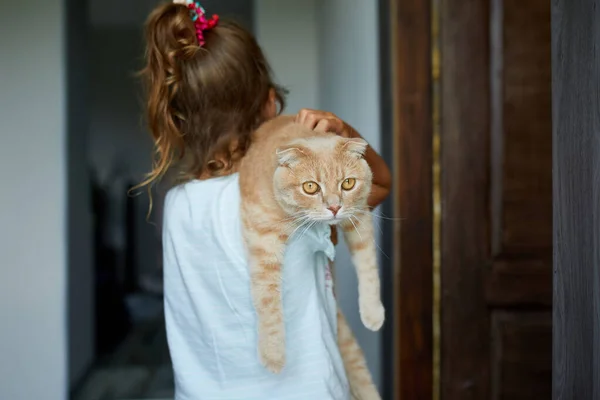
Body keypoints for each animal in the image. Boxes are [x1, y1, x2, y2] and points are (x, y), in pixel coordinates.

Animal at [239, 113, 384, 394]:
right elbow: (267, 299)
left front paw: (372, 311)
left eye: (348, 183)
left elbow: (368, 267)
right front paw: (273, 353)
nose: (335, 207)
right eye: (310, 187)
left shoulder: (359, 217)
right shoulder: (263, 238)